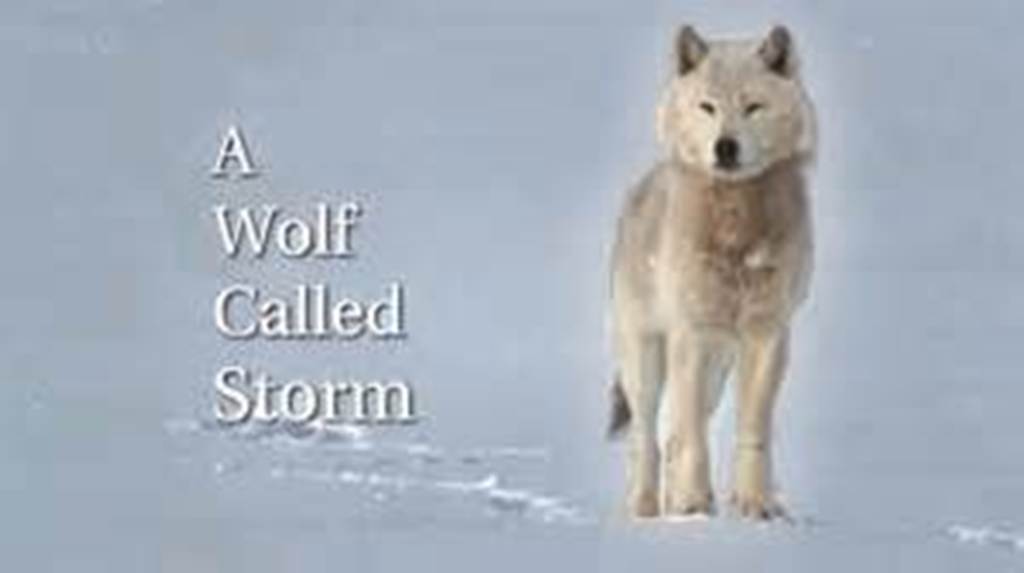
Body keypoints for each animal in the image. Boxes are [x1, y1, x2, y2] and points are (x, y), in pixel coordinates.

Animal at [608, 24, 816, 520]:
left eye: (753, 106)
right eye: (708, 106)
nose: (725, 146)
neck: (735, 223)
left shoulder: (766, 334)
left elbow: (751, 430)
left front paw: (756, 506)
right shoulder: (694, 332)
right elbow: (690, 438)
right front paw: (693, 506)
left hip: (720, 364)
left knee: (674, 433)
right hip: (646, 358)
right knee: (648, 437)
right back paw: (645, 510)